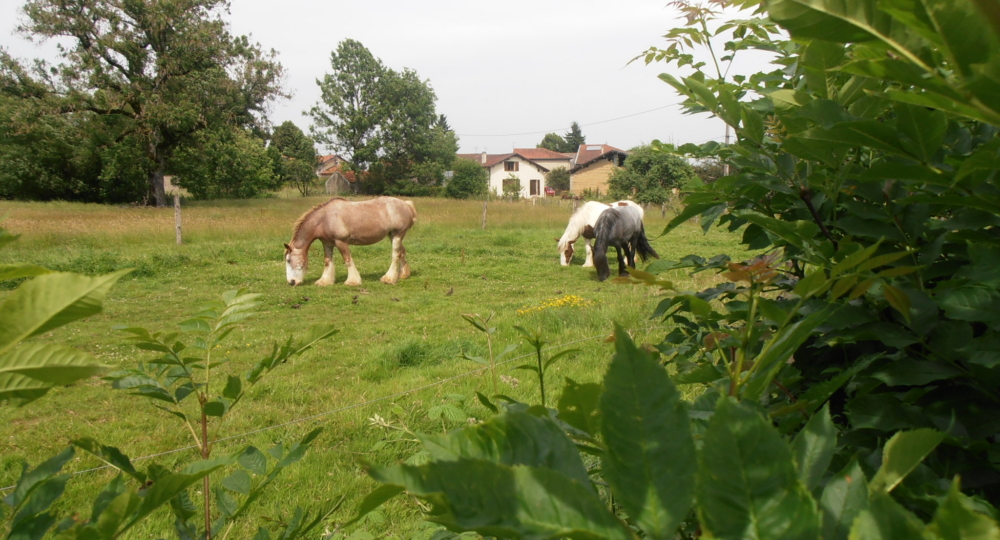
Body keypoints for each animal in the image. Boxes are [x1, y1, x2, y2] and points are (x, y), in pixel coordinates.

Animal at [284, 195, 416, 286]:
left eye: (289, 260)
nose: (291, 282)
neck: (325, 218)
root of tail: (406, 204)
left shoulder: (341, 242)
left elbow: (347, 260)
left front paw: (352, 281)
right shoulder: (327, 243)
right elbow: (328, 261)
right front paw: (325, 281)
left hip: (397, 235)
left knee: (396, 255)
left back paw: (388, 278)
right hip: (391, 235)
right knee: (402, 252)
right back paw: (403, 274)